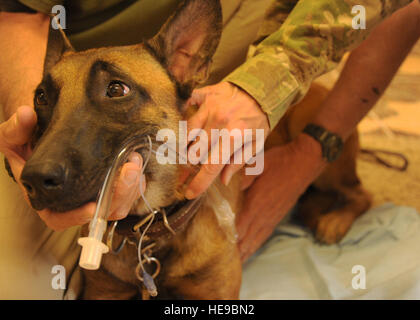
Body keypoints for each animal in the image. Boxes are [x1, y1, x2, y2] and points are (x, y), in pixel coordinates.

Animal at [14, 0, 370, 300]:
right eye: (41, 97)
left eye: (116, 89)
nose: (33, 180)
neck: (152, 231)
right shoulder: (105, 292)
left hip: (318, 152)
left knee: (362, 194)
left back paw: (334, 220)